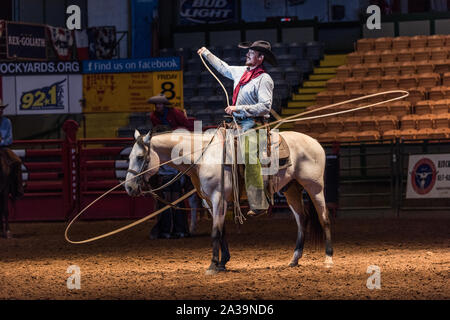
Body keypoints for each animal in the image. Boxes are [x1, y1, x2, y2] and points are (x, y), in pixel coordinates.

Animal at [125, 128, 332, 276]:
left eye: (140, 157)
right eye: (129, 157)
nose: (128, 187)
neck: (202, 157)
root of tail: (315, 142)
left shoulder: (218, 198)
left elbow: (215, 232)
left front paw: (212, 265)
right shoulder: (210, 202)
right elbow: (222, 231)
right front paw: (223, 262)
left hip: (315, 187)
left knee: (324, 218)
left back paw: (328, 258)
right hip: (292, 189)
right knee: (302, 220)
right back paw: (294, 259)